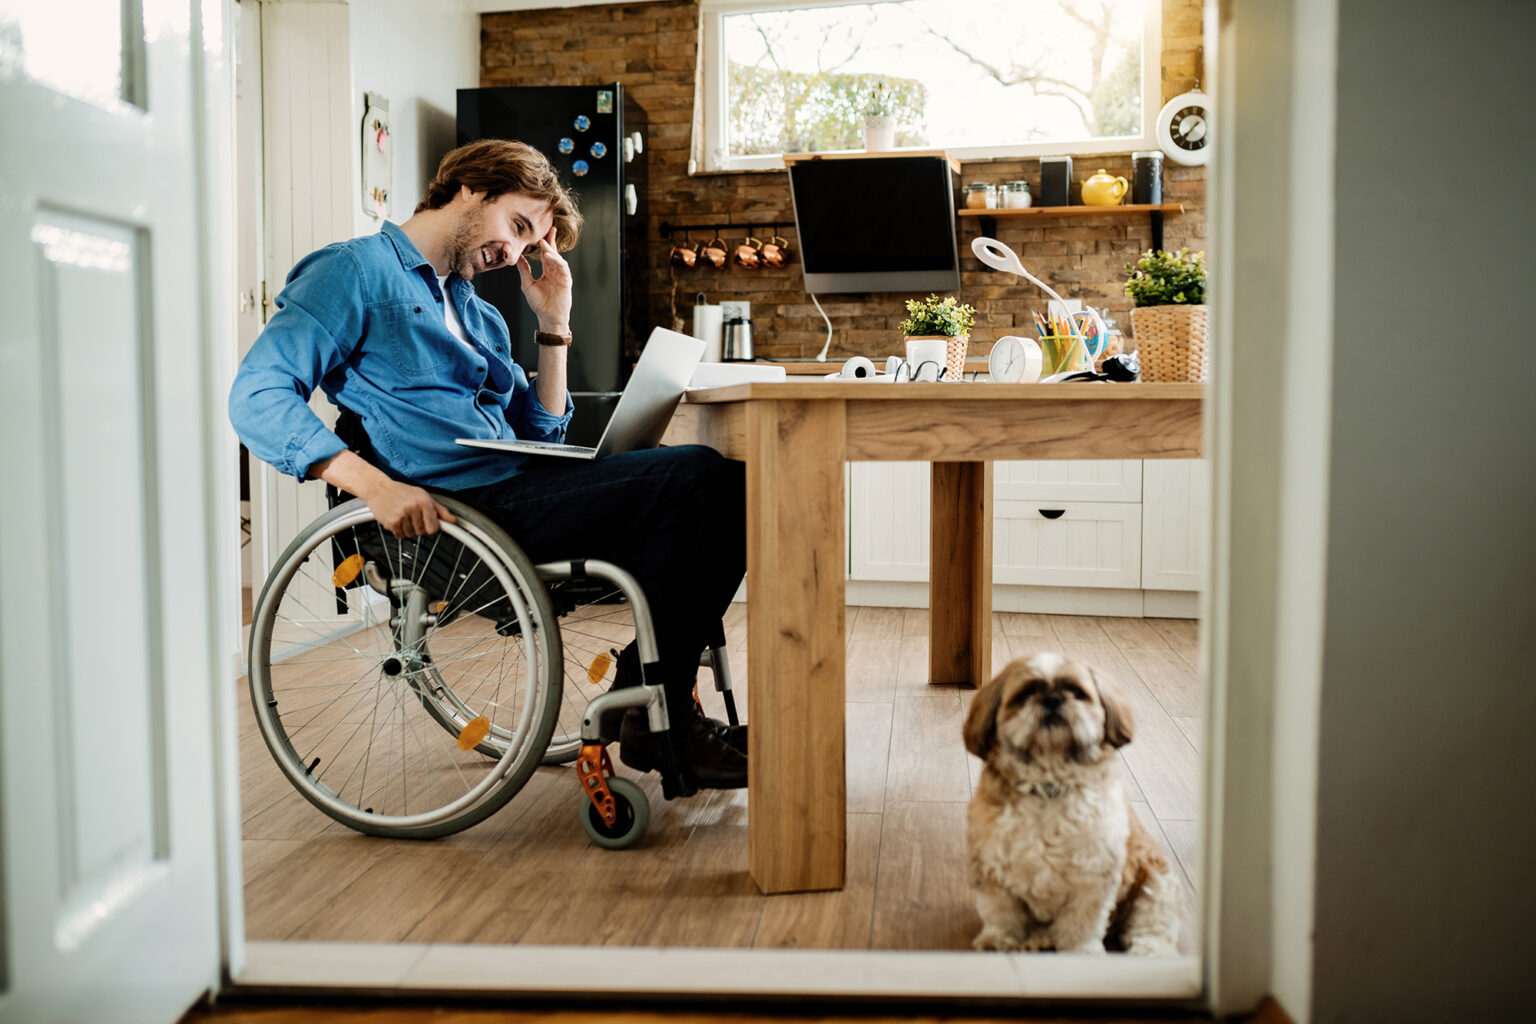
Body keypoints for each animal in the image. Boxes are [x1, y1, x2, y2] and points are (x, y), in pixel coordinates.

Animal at [964, 654, 1179, 957]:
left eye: (1077, 692)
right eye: (1025, 694)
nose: (1052, 699)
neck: (1049, 786)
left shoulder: (1093, 875)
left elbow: (1081, 923)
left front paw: (1081, 952)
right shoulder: (992, 867)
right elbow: (1002, 913)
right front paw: (999, 940)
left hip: (1157, 885)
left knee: (1152, 927)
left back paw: (1150, 950)